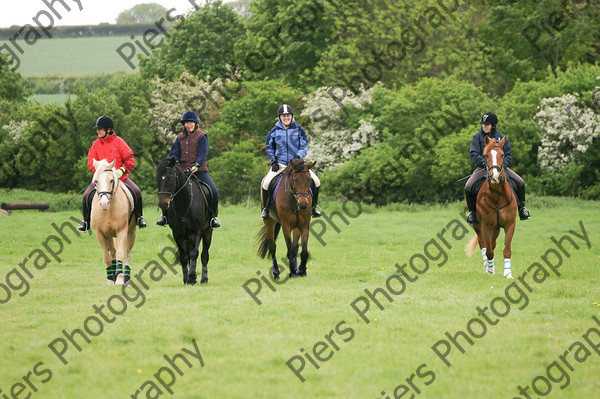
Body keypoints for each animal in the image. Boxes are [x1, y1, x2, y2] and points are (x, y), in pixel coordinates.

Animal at [90, 158, 136, 286]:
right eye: (96, 181)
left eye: (111, 180)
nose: (104, 203)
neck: (109, 210)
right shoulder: (100, 233)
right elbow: (107, 256)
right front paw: (110, 279)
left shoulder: (122, 231)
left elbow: (121, 254)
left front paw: (120, 279)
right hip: (109, 235)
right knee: (113, 253)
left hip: (131, 233)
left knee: (127, 254)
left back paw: (126, 278)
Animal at [155, 158, 213, 286]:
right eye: (157, 178)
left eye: (171, 177)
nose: (163, 204)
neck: (184, 202)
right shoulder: (178, 233)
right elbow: (184, 257)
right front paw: (187, 279)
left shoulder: (197, 231)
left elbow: (194, 253)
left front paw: (191, 276)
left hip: (208, 231)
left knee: (204, 255)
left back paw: (204, 279)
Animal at [466, 137, 516, 278]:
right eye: (486, 156)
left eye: (503, 155)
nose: (495, 176)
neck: (497, 196)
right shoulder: (486, 226)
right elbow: (488, 251)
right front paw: (490, 270)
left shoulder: (510, 225)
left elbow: (506, 250)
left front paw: (508, 273)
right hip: (478, 226)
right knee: (484, 245)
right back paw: (487, 266)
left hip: (496, 228)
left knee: (492, 244)